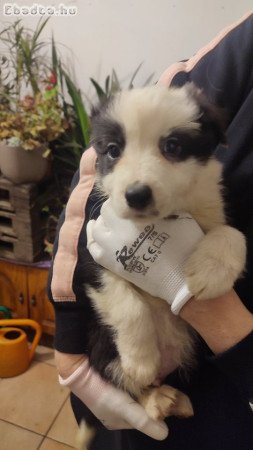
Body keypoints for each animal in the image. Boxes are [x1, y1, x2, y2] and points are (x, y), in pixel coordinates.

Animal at [82, 84, 245, 440]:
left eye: (172, 146)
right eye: (113, 150)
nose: (136, 195)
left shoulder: (212, 215)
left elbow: (232, 232)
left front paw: (209, 273)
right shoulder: (92, 255)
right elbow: (129, 305)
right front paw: (140, 361)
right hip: (100, 345)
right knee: (123, 382)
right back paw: (156, 397)